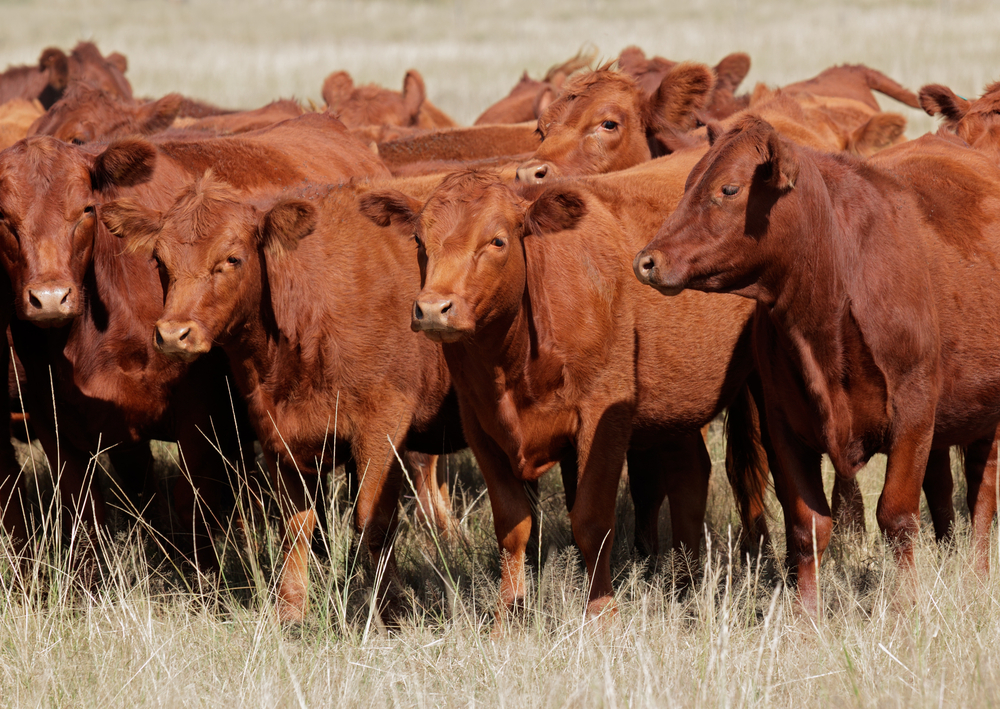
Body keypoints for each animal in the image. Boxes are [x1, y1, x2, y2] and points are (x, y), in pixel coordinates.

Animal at [106, 171, 468, 620]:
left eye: (232, 259)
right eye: (159, 261)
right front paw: (290, 611)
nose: (173, 334)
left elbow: (374, 522)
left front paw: (392, 611)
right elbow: (296, 527)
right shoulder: (279, 434)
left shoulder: (383, 426)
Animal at [362, 169, 772, 624]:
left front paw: (601, 615)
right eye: (419, 241)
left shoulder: (603, 415)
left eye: (497, 241)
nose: (433, 309)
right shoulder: (481, 426)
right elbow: (512, 525)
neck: (512, 361)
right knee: (691, 474)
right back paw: (684, 583)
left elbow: (591, 520)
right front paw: (508, 616)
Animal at [636, 119, 1000, 612]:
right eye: (688, 182)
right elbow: (807, 526)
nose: (647, 261)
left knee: (983, 492)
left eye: (728, 188)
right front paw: (806, 615)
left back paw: (979, 573)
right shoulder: (784, 425)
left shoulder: (914, 413)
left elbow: (897, 515)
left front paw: (905, 605)